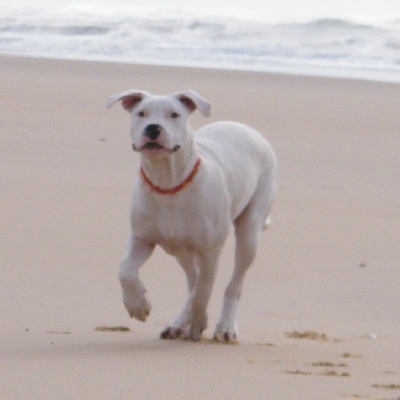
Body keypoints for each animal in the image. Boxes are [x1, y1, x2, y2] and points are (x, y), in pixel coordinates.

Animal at [106, 89, 276, 342]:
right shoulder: (142, 238)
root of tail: (246, 128)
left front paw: (197, 323)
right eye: (141, 113)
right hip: (180, 248)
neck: (168, 182)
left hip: (249, 230)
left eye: (175, 114)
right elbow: (125, 270)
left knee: (232, 283)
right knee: (191, 279)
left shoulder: (210, 250)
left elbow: (202, 291)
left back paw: (225, 327)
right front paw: (137, 306)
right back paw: (178, 324)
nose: (153, 128)